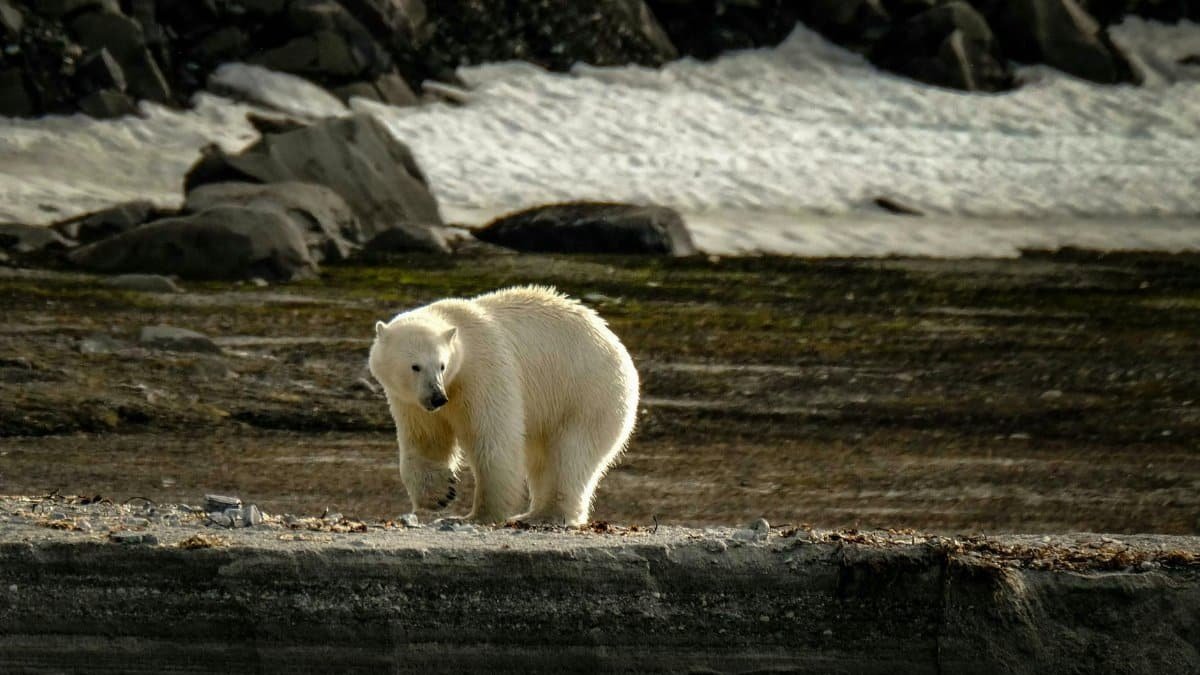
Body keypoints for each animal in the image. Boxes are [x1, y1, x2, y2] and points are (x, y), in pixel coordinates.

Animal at [368, 285, 640, 526]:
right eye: (415, 366)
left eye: (441, 365)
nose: (437, 397)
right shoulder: (411, 401)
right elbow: (426, 438)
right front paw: (439, 495)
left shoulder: (483, 370)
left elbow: (493, 438)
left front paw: (479, 515)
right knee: (542, 457)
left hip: (588, 393)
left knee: (571, 453)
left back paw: (546, 514)